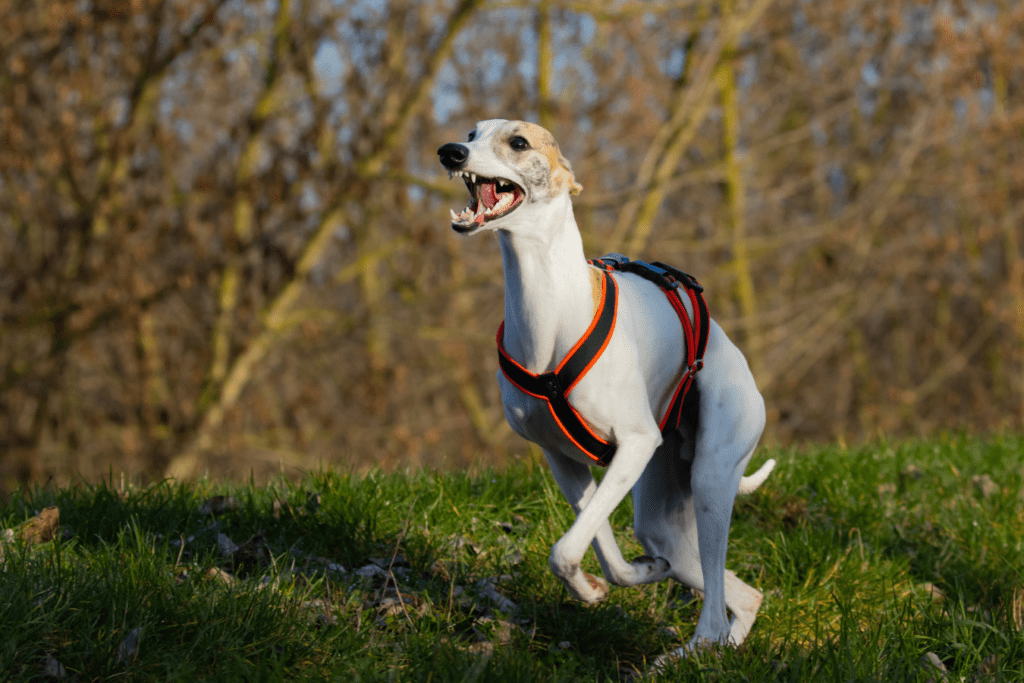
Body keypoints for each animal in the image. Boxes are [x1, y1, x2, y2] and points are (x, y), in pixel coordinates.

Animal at [434, 120, 774, 659]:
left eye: (518, 142)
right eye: (470, 133)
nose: (450, 152)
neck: (548, 313)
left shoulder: (635, 444)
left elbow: (564, 548)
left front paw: (594, 583)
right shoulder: (563, 460)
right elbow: (598, 547)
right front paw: (614, 581)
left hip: (711, 479)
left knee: (717, 603)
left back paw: (696, 650)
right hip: (662, 518)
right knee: (742, 593)